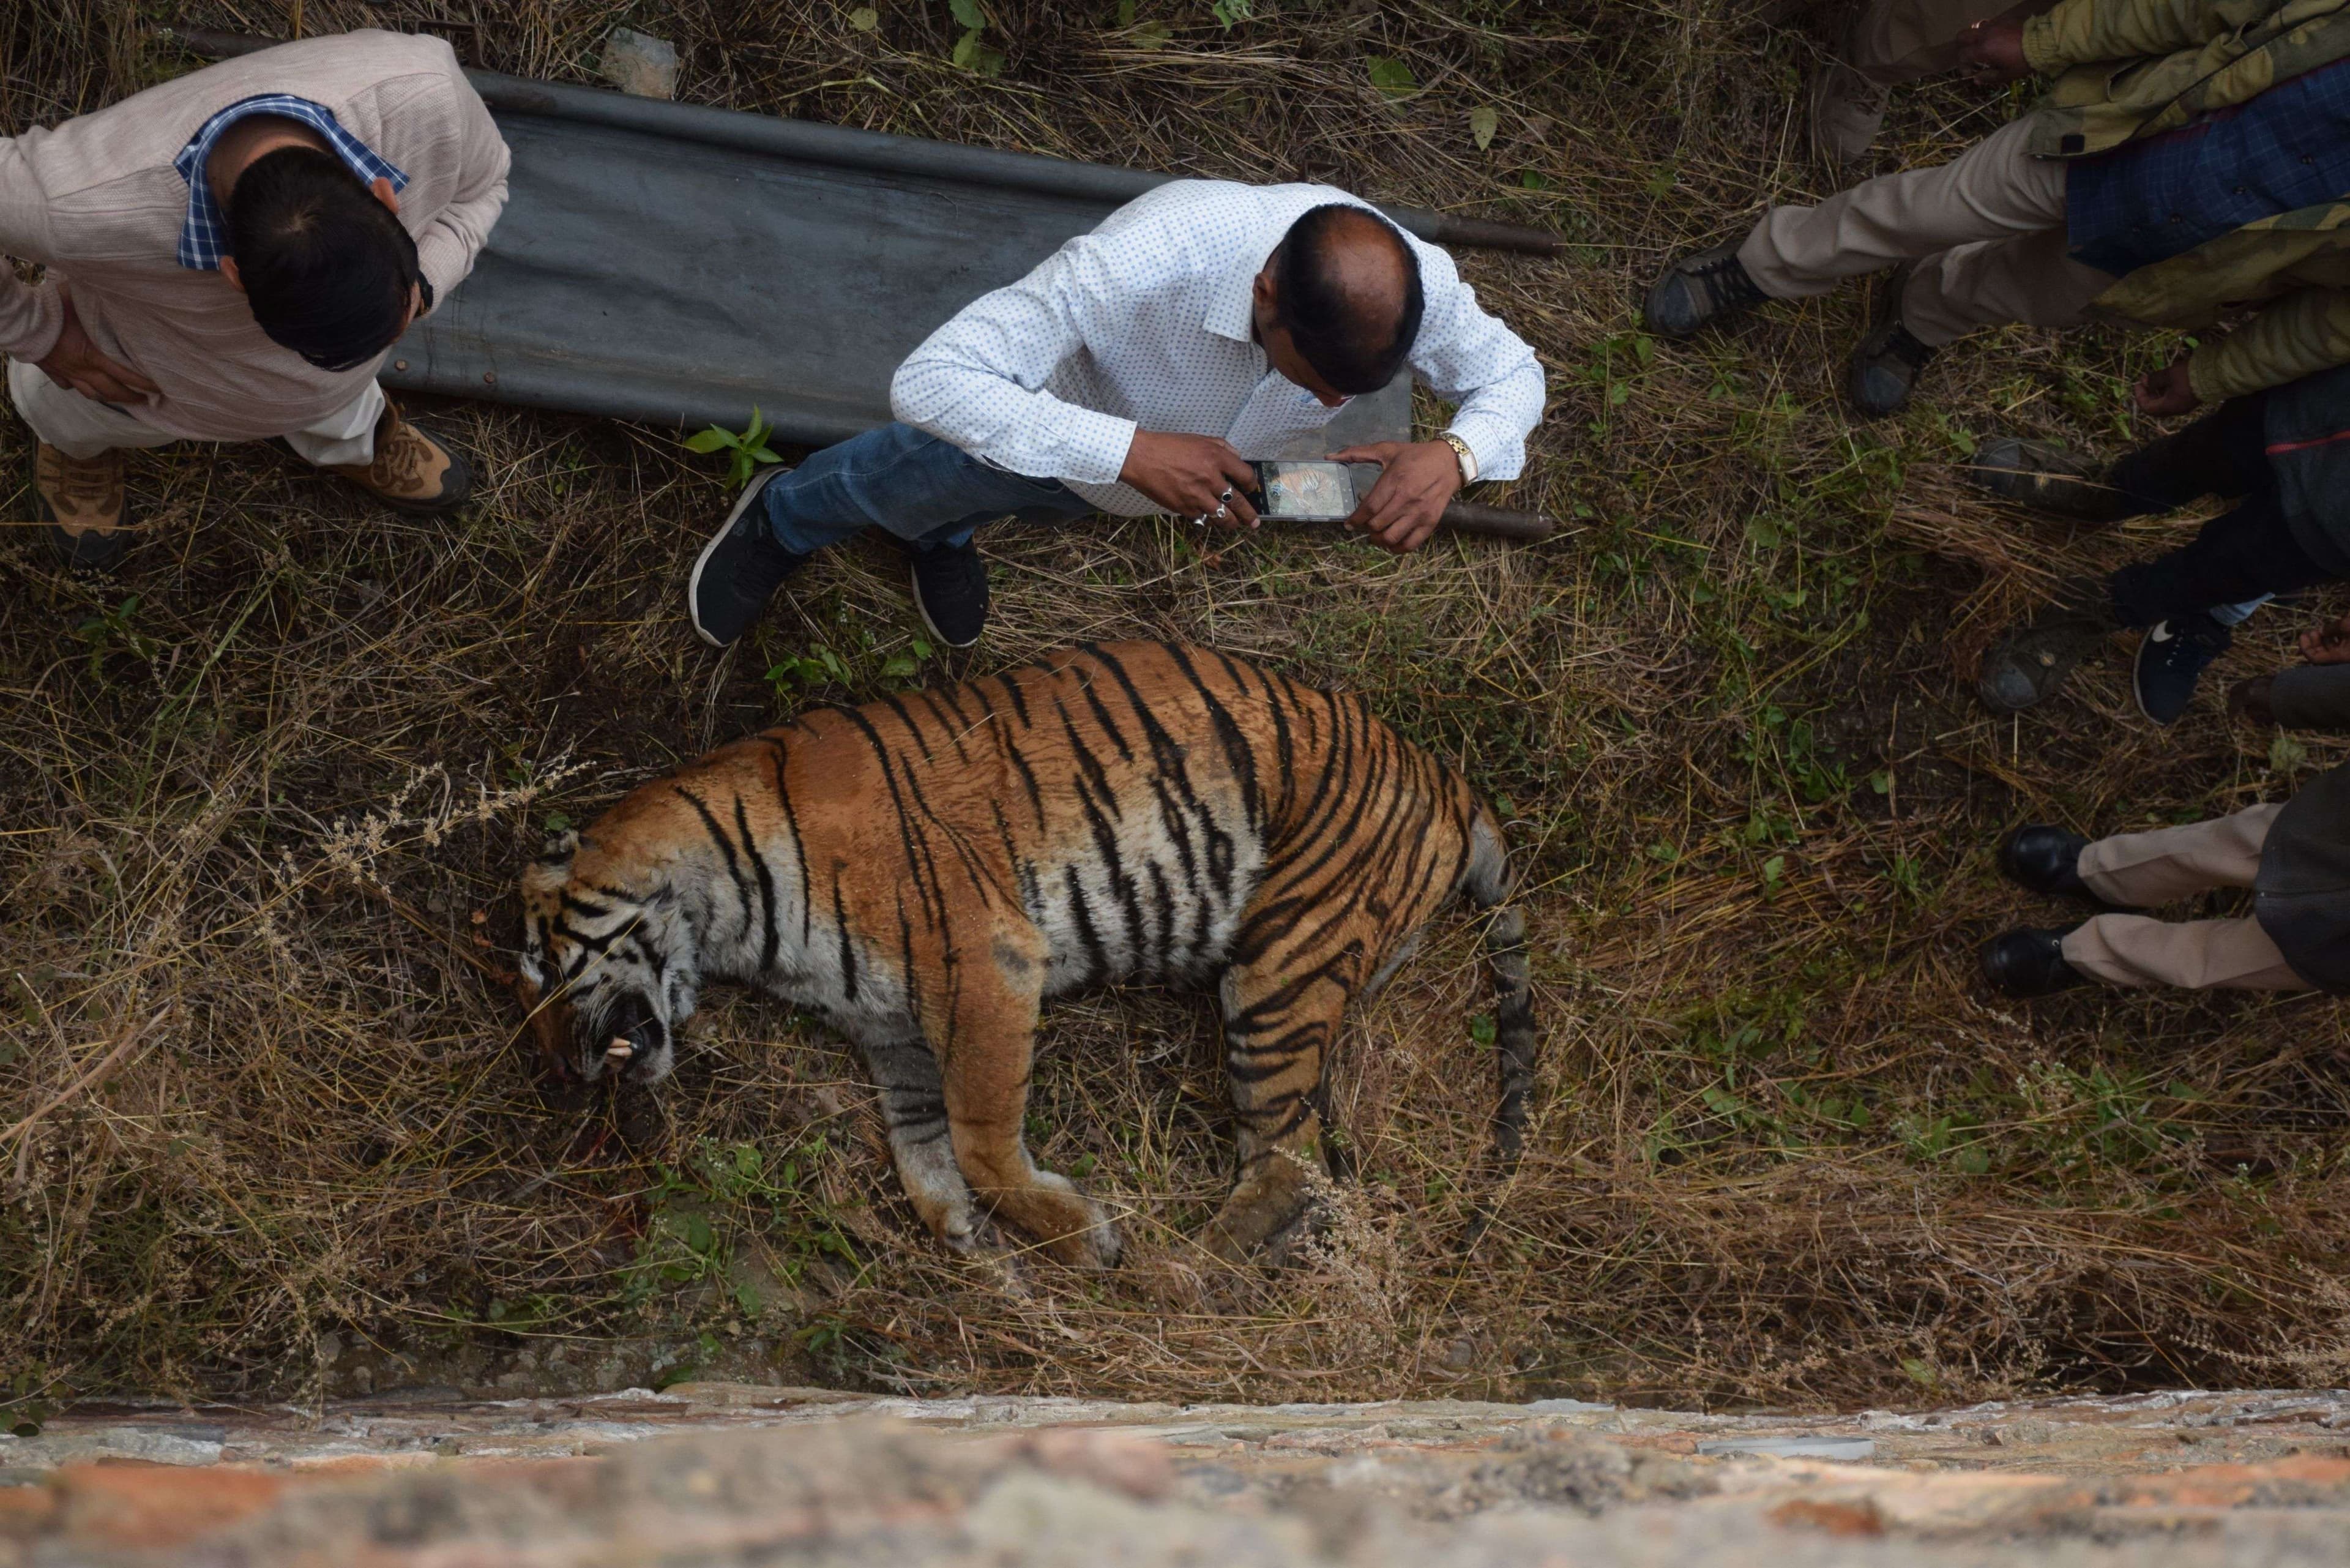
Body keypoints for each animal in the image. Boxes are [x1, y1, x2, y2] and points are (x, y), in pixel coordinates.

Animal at [514, 644, 1532, 1269]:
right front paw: (959, 1230)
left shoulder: (982, 962)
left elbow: (980, 1133)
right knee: (1307, 1168)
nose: (558, 1069)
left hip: (1283, 960)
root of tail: (1453, 778)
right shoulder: (887, 1028)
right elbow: (918, 1144)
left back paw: (1175, 1272)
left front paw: (1077, 1235)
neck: (724, 917)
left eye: (542, 968)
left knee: (1291, 1164)